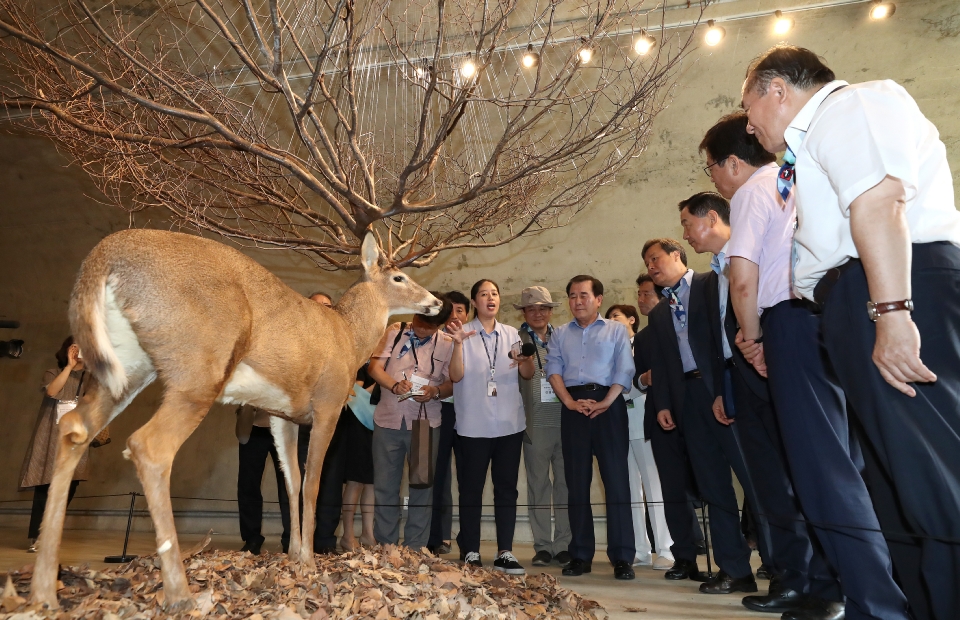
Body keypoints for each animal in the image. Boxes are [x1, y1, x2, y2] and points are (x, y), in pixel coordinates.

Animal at [31, 229, 440, 612]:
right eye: (399, 277)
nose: (435, 302)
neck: (349, 338)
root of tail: (104, 257)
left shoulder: (281, 415)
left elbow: (291, 481)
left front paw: (294, 554)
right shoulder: (327, 404)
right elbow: (313, 483)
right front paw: (308, 560)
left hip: (126, 367)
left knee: (74, 427)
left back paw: (45, 591)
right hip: (198, 365)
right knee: (149, 445)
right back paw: (180, 594)